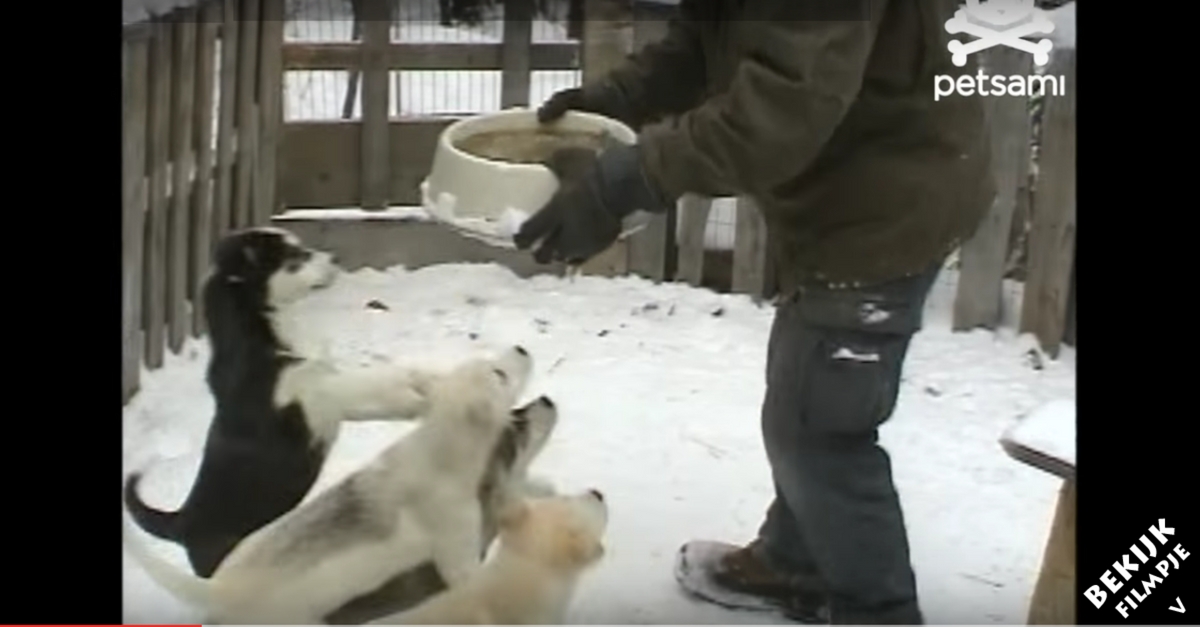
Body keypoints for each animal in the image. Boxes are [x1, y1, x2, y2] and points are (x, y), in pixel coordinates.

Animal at [124, 226, 444, 578]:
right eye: (296, 257)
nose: (336, 258)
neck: (265, 330)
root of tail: (181, 523)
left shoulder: (334, 400)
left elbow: (383, 380)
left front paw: (424, 381)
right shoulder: (313, 399)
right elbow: (364, 383)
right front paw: (418, 396)